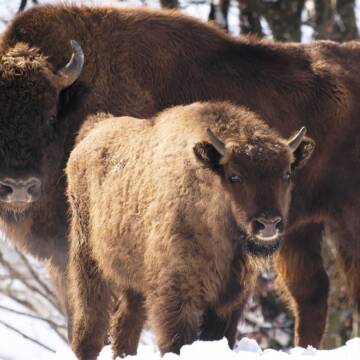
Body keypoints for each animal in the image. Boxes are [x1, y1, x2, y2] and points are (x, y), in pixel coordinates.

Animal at [66, 102, 314, 360]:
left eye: (286, 174)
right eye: (234, 176)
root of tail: (93, 130)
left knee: (126, 324)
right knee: (90, 326)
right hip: (88, 262)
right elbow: (176, 341)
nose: (268, 224)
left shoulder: (229, 301)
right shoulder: (178, 297)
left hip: (132, 279)